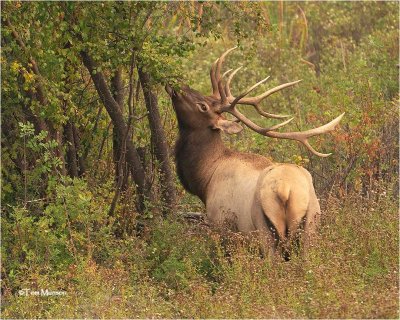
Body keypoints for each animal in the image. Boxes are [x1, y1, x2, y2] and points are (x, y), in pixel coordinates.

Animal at [166, 47, 344, 258]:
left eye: (203, 106)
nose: (175, 84)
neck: (205, 179)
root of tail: (286, 189)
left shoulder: (221, 224)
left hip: (265, 229)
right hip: (311, 227)